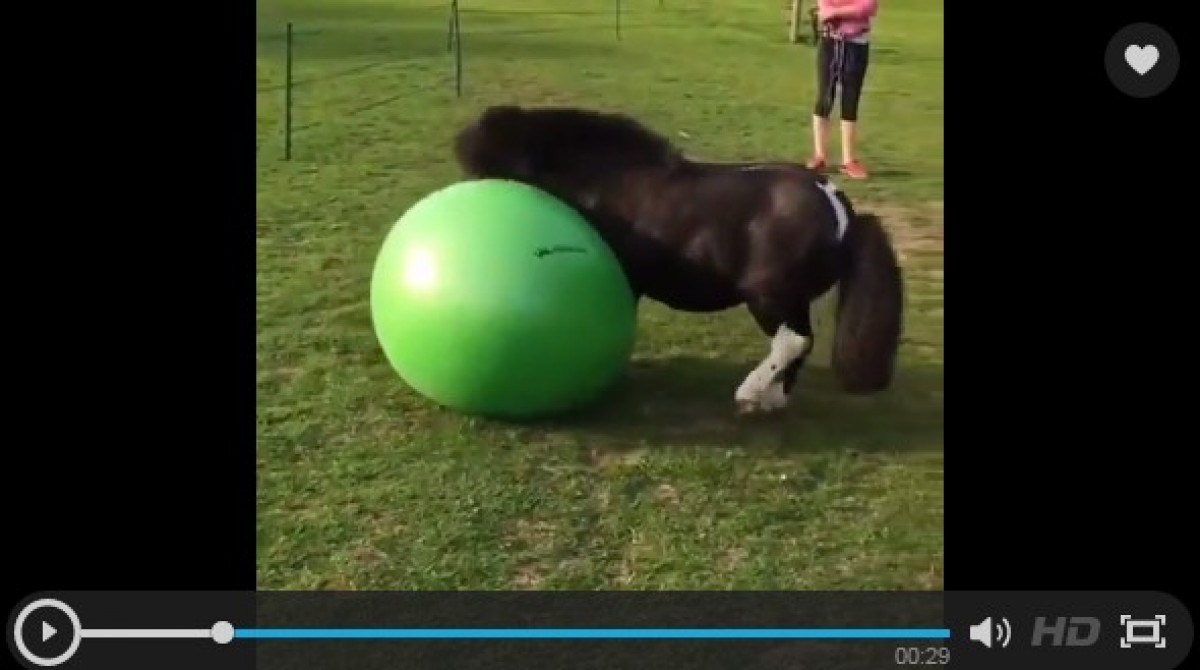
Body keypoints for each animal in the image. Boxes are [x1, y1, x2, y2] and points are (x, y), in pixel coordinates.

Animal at [451, 105, 902, 415]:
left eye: (490, 170)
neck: (606, 179)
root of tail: (839, 207)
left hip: (770, 295)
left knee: (793, 340)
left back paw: (749, 394)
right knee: (799, 345)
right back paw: (771, 400)